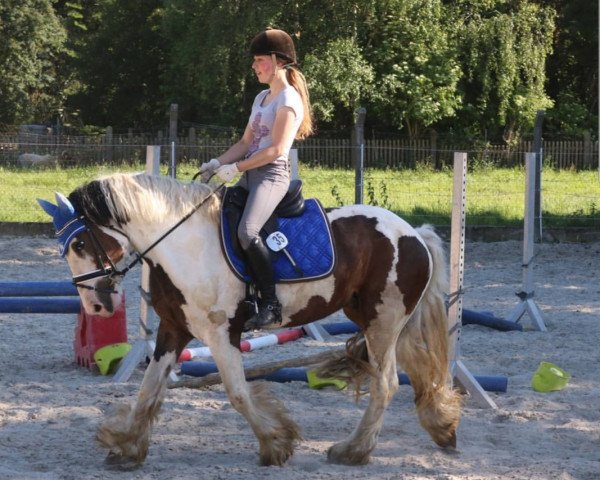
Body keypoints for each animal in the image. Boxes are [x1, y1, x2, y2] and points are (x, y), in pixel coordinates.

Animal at [37, 173, 462, 468]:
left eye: (80, 244)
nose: (95, 306)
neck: (182, 245)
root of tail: (413, 233)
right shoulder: (174, 330)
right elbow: (148, 391)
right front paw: (125, 446)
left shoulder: (221, 332)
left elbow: (238, 393)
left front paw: (276, 443)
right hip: (378, 320)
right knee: (418, 368)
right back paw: (441, 428)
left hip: (382, 321)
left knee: (387, 383)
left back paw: (353, 450)